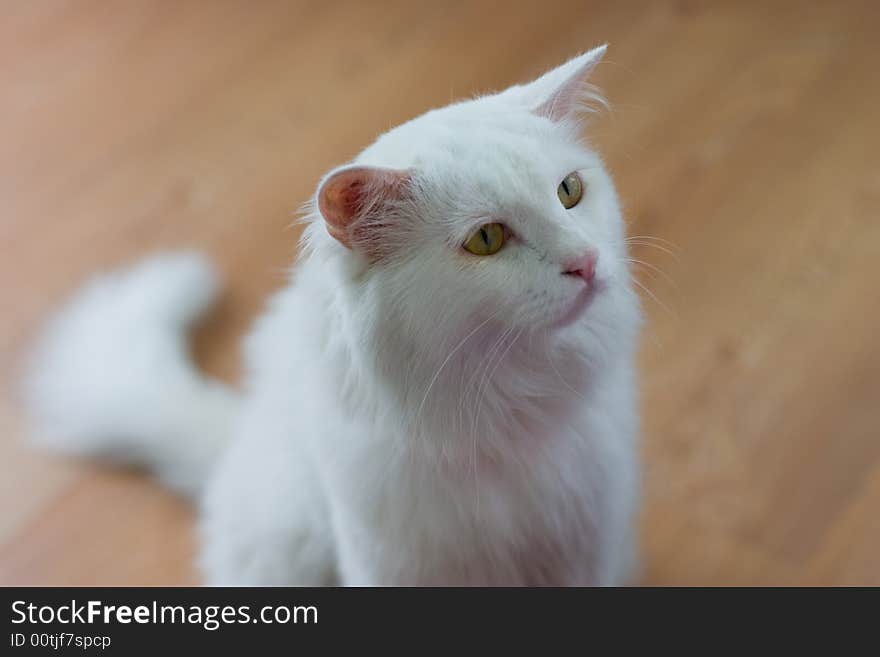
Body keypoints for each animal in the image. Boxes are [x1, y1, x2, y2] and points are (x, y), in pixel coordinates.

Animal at [25, 47, 640, 584]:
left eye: (569, 191)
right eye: (486, 239)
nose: (586, 262)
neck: (511, 415)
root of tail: (240, 438)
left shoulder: (589, 546)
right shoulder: (390, 562)